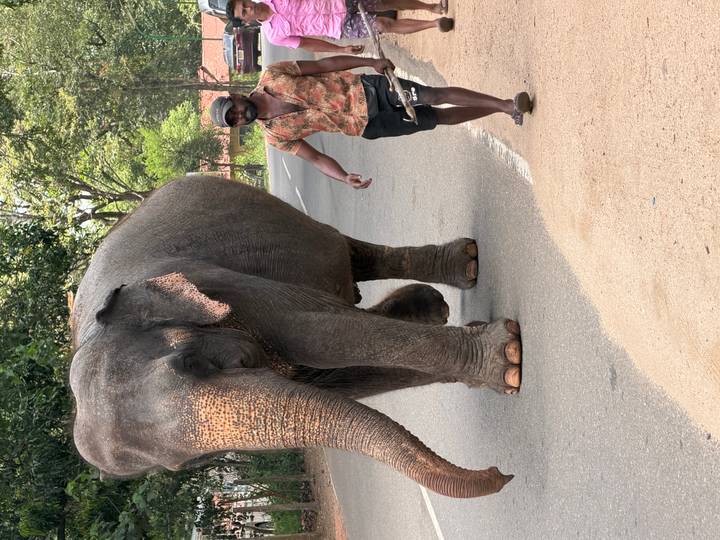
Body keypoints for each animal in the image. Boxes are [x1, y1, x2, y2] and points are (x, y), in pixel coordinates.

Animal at [69, 176, 522, 499]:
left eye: (190, 362)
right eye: (193, 465)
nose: (501, 472)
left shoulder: (219, 282)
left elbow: (318, 333)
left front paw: (506, 361)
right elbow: (343, 375)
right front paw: (503, 362)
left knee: (347, 248)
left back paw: (463, 266)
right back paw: (430, 306)